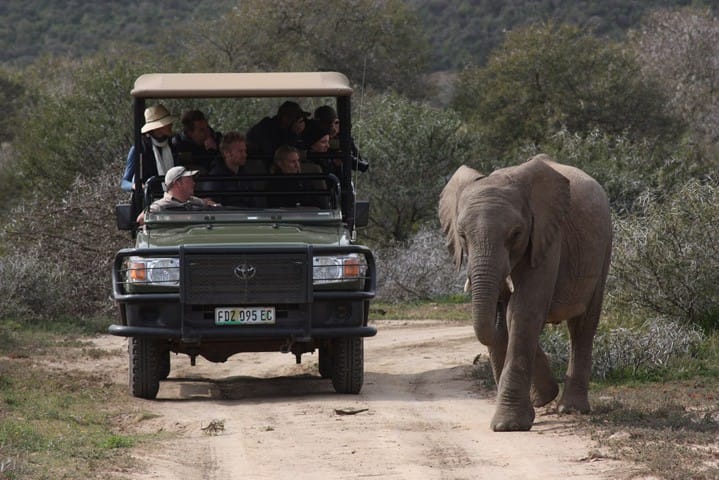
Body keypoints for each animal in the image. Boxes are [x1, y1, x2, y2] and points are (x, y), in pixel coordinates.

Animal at [438, 156, 612, 434]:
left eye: (516, 234)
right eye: (462, 235)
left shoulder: (547, 236)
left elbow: (523, 311)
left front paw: (508, 425)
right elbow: (513, 317)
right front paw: (538, 400)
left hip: (604, 244)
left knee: (583, 325)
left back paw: (571, 409)